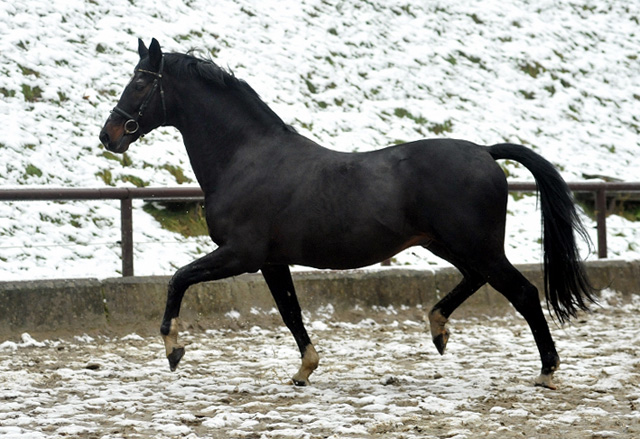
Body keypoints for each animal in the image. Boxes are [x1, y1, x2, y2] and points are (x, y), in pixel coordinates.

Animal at [99, 37, 596, 388]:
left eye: (140, 83)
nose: (109, 135)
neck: (246, 158)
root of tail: (486, 152)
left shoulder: (241, 255)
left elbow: (179, 279)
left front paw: (172, 348)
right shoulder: (272, 261)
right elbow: (291, 311)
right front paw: (305, 369)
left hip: (476, 245)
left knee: (524, 293)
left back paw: (547, 371)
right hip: (448, 244)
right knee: (477, 280)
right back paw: (438, 330)